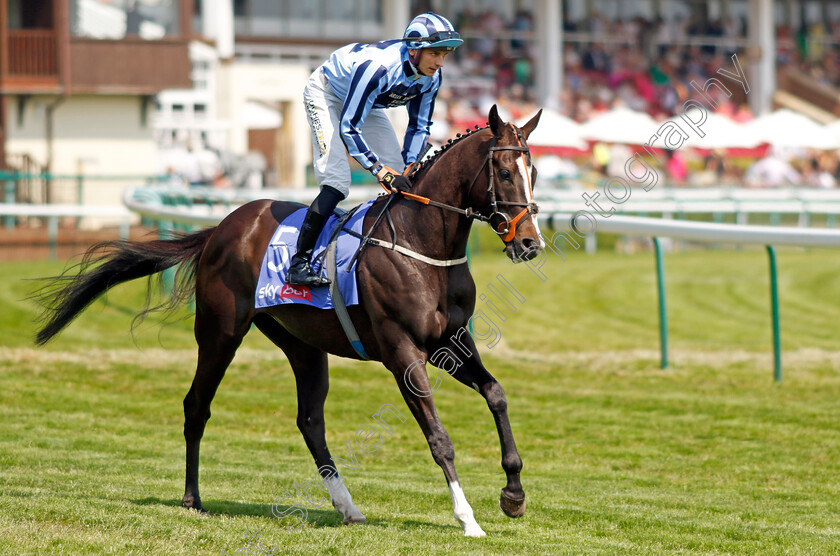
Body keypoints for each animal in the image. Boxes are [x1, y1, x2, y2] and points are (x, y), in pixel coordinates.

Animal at [32, 105, 544, 540]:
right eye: (503, 172)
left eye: (533, 173)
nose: (531, 243)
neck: (423, 247)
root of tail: (220, 228)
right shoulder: (402, 352)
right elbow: (439, 438)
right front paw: (468, 518)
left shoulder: (451, 343)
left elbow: (496, 394)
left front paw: (513, 494)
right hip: (220, 333)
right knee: (197, 406)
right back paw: (193, 498)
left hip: (302, 343)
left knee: (310, 421)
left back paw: (347, 506)